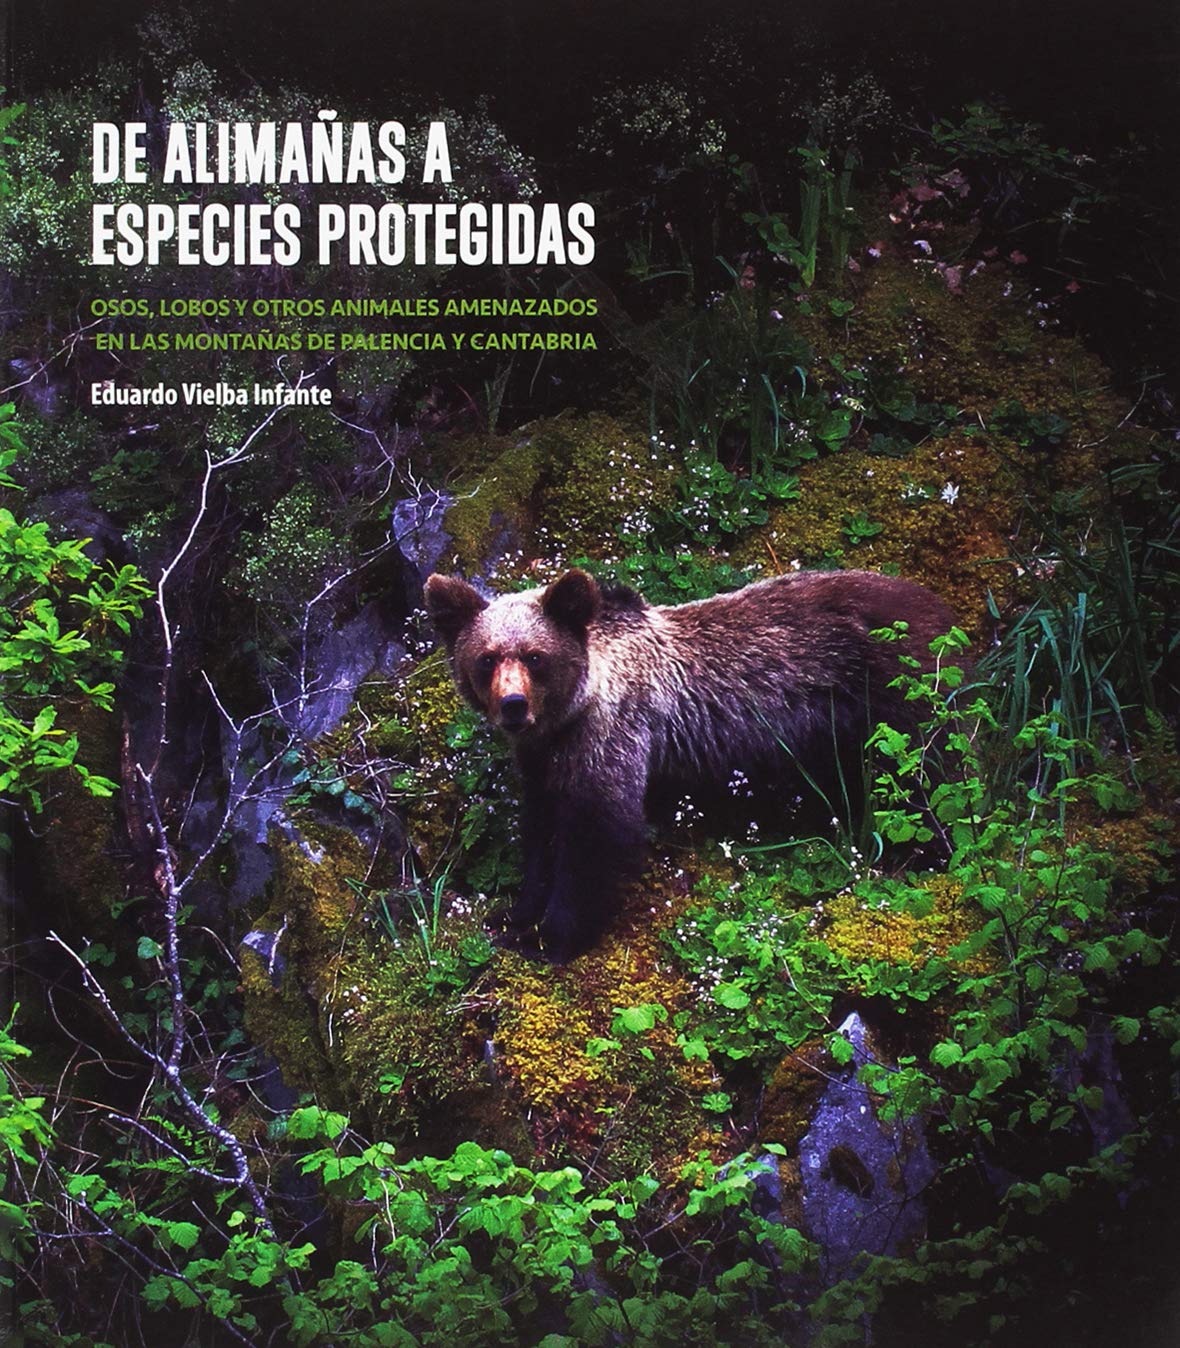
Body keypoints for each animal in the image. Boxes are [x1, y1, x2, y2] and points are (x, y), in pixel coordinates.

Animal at [424, 567, 962, 962]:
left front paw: (552, 937)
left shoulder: (614, 734)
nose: (513, 705)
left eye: (535, 656)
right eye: (487, 658)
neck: (573, 711)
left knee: (926, 783)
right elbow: (541, 833)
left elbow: (598, 833)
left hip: (895, 702)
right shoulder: (543, 761)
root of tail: (940, 606)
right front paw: (515, 915)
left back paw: (926, 856)